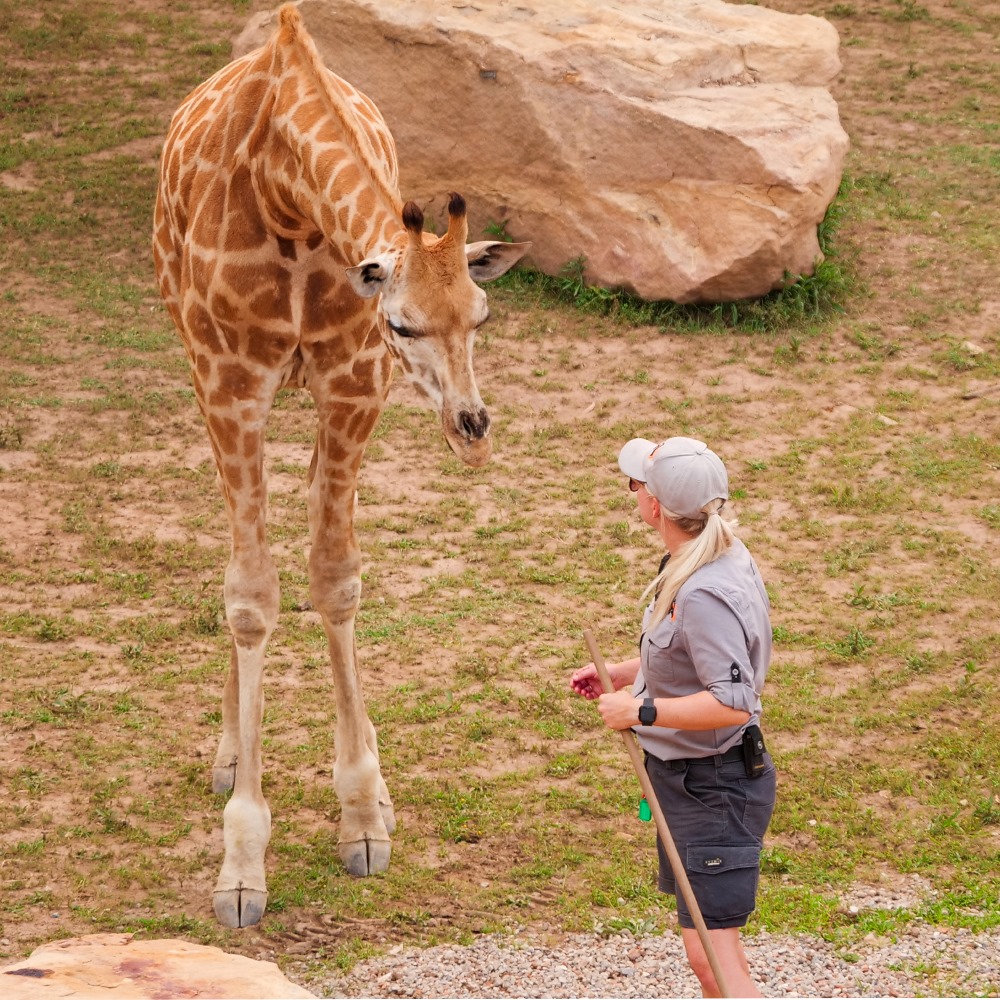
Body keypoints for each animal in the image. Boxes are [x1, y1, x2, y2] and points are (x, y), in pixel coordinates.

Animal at [152, 5, 528, 928]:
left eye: (481, 313)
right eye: (401, 323)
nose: (473, 431)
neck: (286, 193)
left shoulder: (352, 385)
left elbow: (335, 579)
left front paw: (362, 812)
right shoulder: (232, 384)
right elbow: (251, 598)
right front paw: (241, 862)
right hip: (205, 372)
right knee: (241, 564)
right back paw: (228, 756)